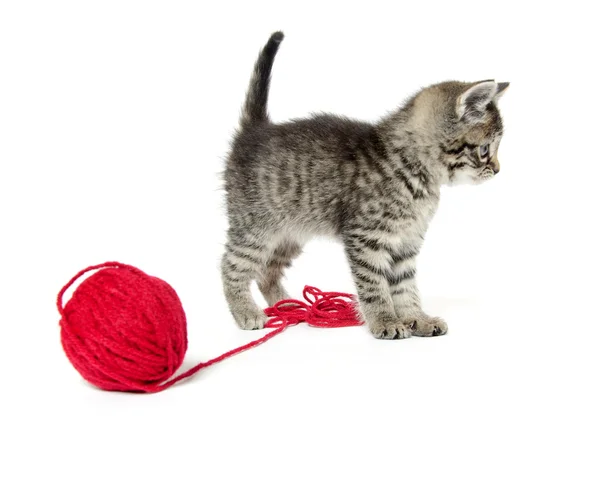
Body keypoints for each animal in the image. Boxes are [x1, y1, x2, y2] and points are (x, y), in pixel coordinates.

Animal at [219, 31, 506, 340]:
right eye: (485, 149)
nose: (498, 170)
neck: (414, 170)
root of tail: (255, 131)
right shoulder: (365, 237)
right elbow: (374, 284)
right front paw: (385, 320)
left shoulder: (407, 241)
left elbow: (405, 286)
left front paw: (416, 318)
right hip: (256, 228)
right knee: (230, 265)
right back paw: (246, 312)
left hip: (290, 234)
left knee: (267, 271)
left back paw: (288, 306)